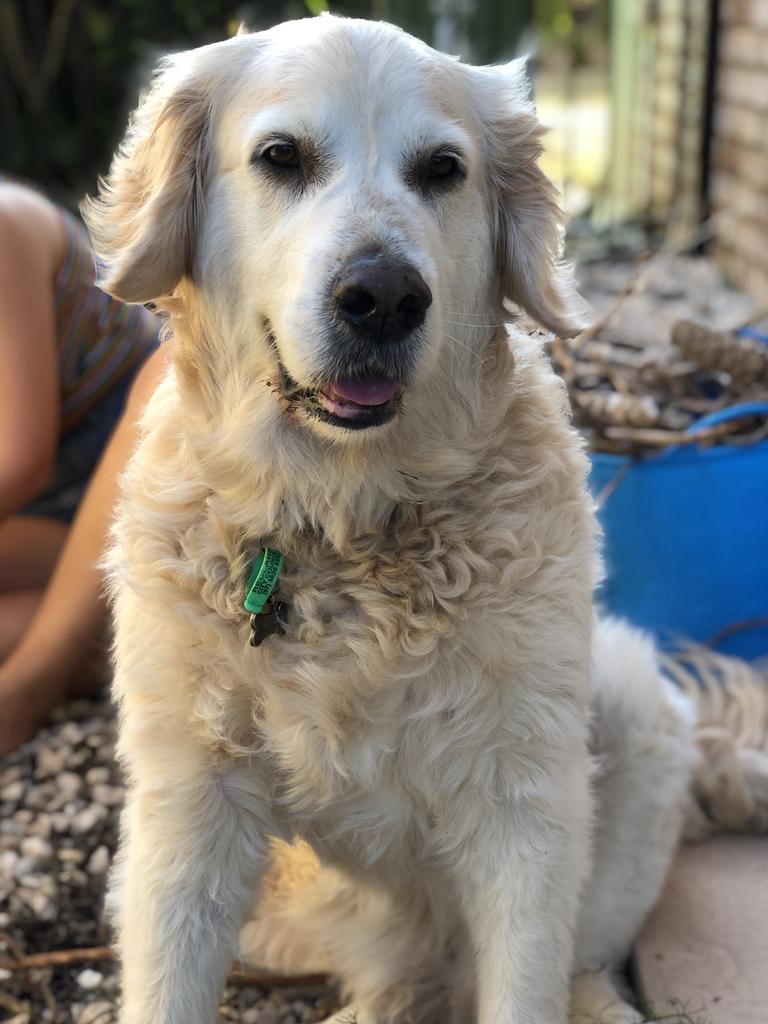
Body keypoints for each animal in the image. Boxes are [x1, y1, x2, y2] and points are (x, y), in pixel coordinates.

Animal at [85, 16, 696, 1024]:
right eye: (281, 157)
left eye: (443, 169)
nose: (383, 297)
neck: (341, 524)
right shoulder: (187, 799)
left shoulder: (524, 800)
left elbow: (528, 978)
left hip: (629, 695)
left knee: (578, 962)